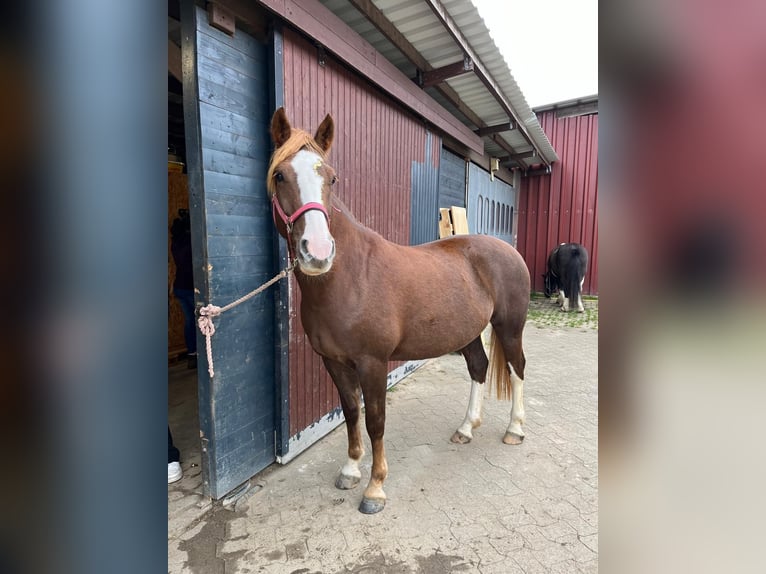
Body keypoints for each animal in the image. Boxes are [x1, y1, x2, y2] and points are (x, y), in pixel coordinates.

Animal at [268, 109, 532, 516]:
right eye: (280, 175)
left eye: (331, 177)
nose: (318, 251)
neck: (349, 277)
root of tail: (507, 250)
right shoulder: (334, 362)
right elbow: (352, 413)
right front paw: (350, 470)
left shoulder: (373, 363)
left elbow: (376, 421)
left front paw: (375, 489)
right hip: (468, 332)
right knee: (479, 367)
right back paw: (466, 428)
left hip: (509, 326)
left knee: (517, 369)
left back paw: (515, 430)